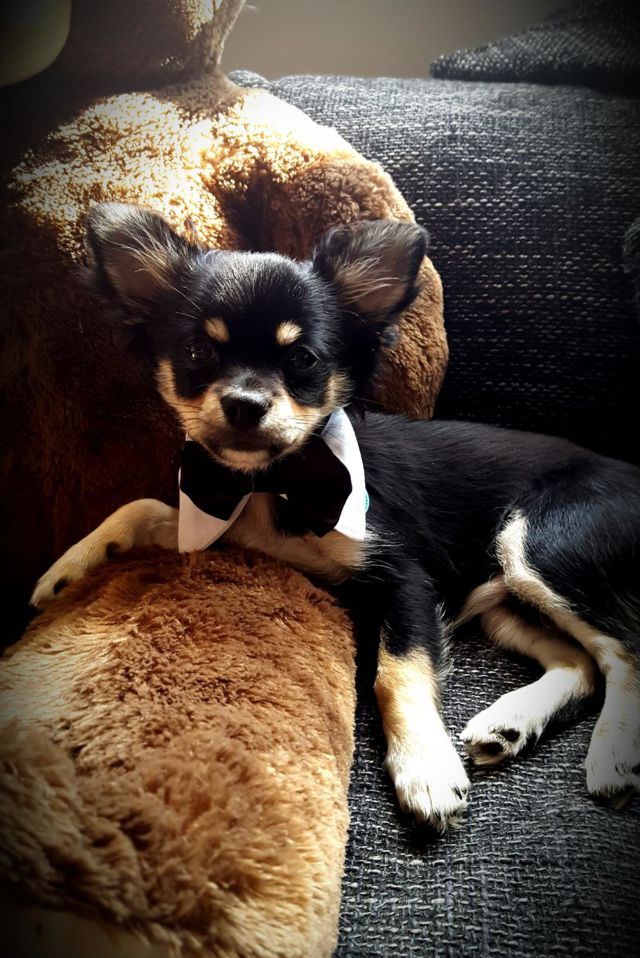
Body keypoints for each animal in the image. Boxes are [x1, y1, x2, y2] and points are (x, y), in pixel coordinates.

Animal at [31, 203, 640, 831]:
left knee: (626, 649)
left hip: (536, 546)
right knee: (581, 664)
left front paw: (424, 767)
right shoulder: (216, 520)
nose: (244, 405)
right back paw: (511, 723)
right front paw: (70, 565)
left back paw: (614, 753)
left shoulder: (407, 579)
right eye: (198, 352)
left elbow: (395, 672)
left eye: (303, 360)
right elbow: (146, 505)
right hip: (503, 600)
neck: (271, 481)